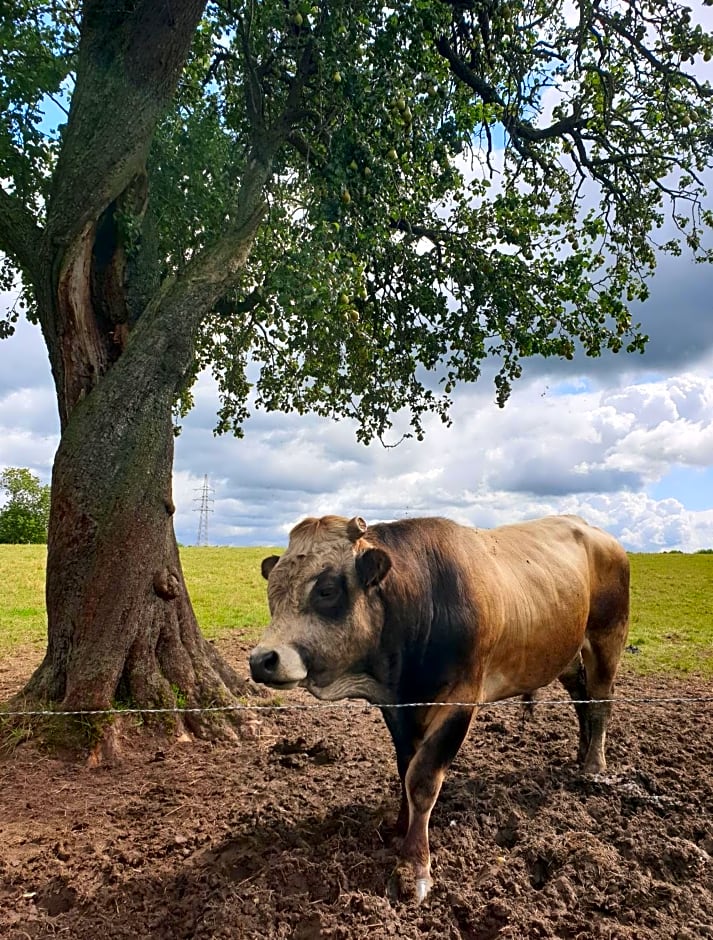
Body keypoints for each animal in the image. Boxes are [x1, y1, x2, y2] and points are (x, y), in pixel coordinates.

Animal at [249, 516, 628, 904]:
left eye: (326, 590)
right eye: (272, 593)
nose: (262, 660)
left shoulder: (460, 702)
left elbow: (422, 778)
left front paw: (413, 865)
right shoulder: (399, 708)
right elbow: (405, 767)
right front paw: (400, 826)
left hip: (607, 637)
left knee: (601, 701)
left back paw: (594, 763)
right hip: (562, 652)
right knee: (581, 696)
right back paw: (581, 751)